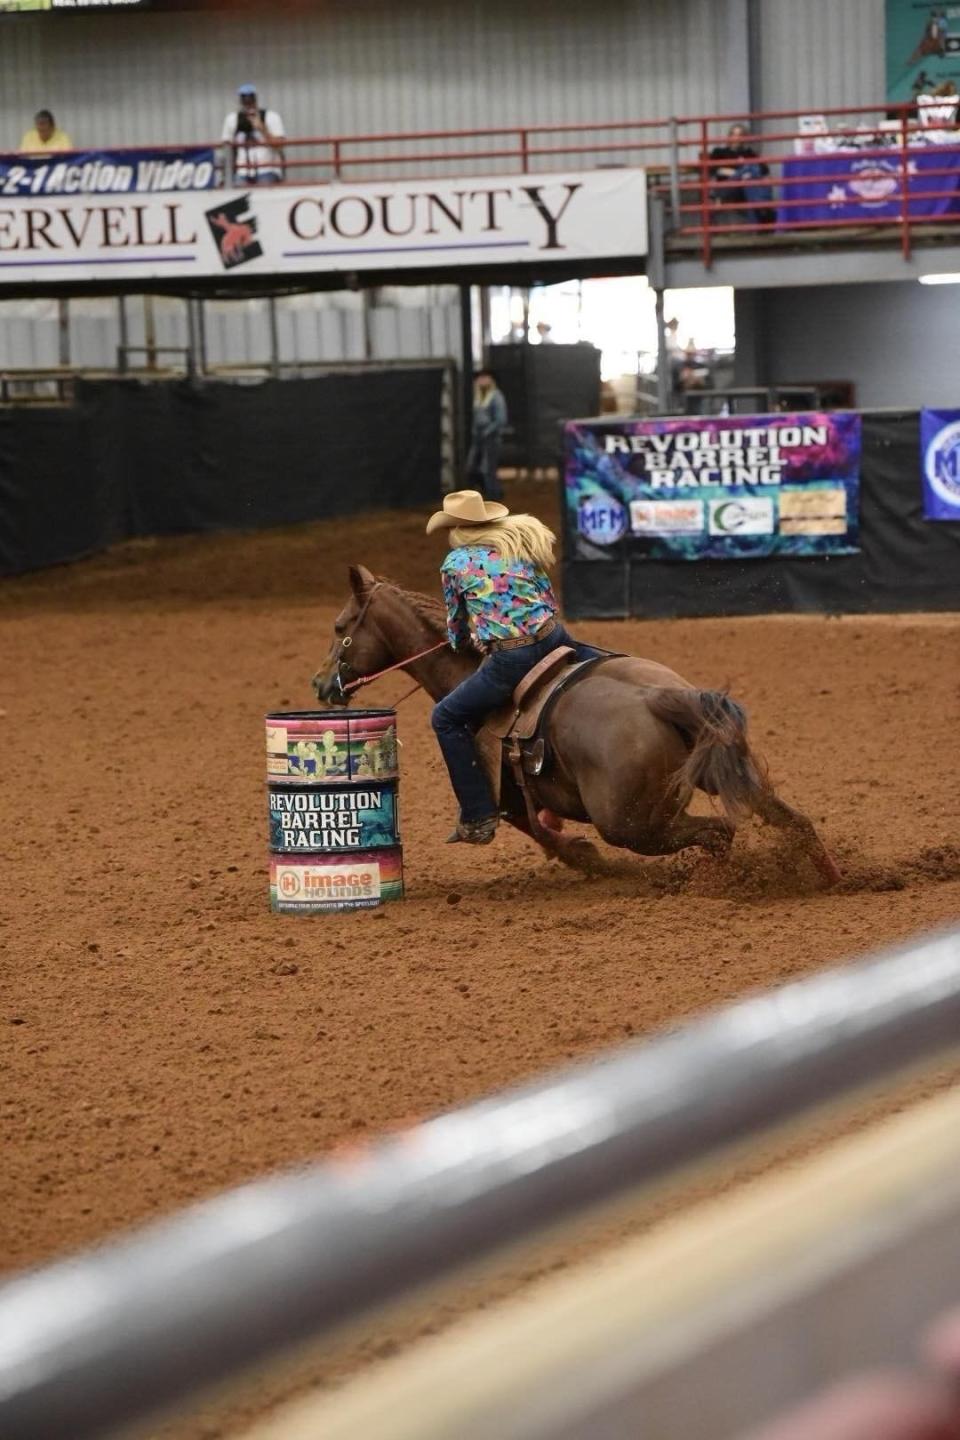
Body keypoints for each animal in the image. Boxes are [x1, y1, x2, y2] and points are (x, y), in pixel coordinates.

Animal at [313, 564, 840, 881]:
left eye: (340, 628)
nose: (321, 684)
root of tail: (660, 697)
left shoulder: (504, 796)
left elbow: (534, 830)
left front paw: (584, 857)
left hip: (632, 825)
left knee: (719, 833)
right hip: (721, 773)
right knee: (792, 821)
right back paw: (830, 876)